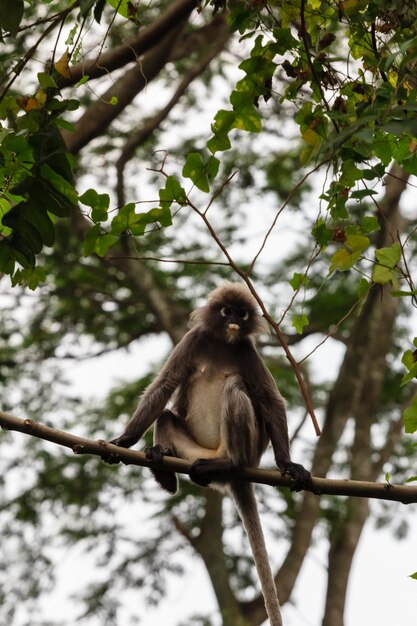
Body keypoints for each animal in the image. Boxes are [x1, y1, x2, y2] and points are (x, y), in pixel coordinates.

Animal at [105, 282, 310, 624]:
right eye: (226, 311)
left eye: (242, 313)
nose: (235, 321)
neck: (223, 343)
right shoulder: (194, 339)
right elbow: (164, 386)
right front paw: (123, 441)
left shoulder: (247, 350)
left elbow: (269, 399)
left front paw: (288, 464)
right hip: (192, 451)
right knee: (165, 416)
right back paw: (164, 470)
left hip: (248, 447)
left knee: (235, 386)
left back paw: (228, 463)